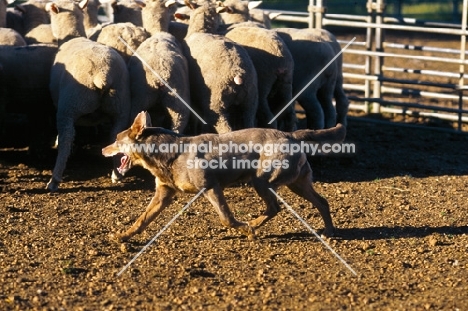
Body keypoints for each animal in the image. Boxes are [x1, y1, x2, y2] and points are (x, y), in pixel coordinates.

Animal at [45, 0, 131, 193]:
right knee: (116, 134)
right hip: (119, 106)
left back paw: (54, 179)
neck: (72, 37)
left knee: (66, 137)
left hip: (71, 104)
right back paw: (116, 173)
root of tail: (102, 74)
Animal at [103, 111, 348, 243]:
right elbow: (143, 219)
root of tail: (291, 135)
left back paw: (252, 226)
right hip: (298, 183)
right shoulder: (164, 193)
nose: (103, 149)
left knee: (274, 207)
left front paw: (244, 228)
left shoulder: (210, 187)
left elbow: (226, 217)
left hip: (262, 181)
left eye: (116, 139)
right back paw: (329, 231)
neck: (170, 154)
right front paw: (123, 236)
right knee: (322, 202)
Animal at [182, 1, 258, 135]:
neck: (201, 30)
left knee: (223, 127)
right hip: (250, 102)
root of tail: (237, 72)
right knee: (249, 122)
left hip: (217, 104)